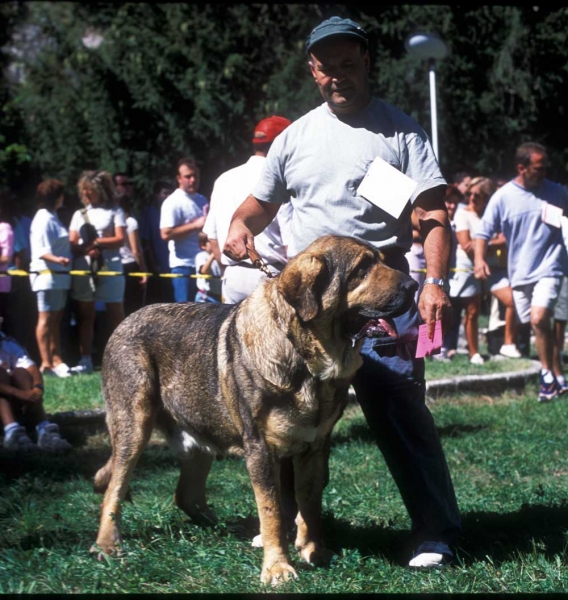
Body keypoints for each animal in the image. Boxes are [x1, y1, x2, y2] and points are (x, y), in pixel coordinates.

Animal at [91, 236, 414, 584]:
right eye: (362, 268)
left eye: (382, 260)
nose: (413, 285)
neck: (305, 357)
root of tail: (125, 320)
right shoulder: (260, 449)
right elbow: (271, 510)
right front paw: (278, 568)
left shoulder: (315, 448)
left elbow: (310, 503)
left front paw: (314, 550)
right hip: (134, 427)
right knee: (114, 489)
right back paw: (107, 545)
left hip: (199, 437)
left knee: (186, 494)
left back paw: (227, 527)